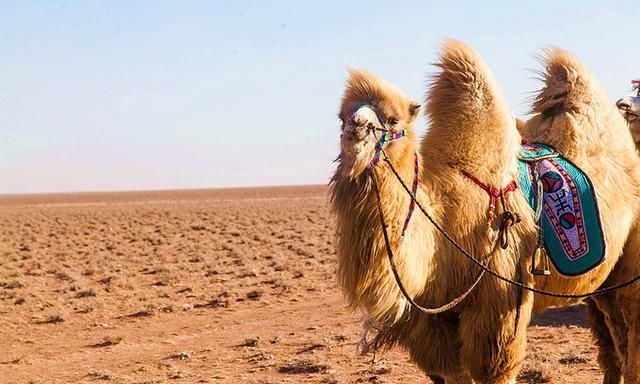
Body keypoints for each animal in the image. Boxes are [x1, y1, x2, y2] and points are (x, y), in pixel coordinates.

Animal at [332, 40, 640, 382]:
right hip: (604, 282)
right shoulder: (434, 317)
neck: (443, 223)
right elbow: (453, 370)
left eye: (392, 119)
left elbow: (495, 367)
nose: (356, 128)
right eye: (341, 116)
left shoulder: (499, 299)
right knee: (614, 338)